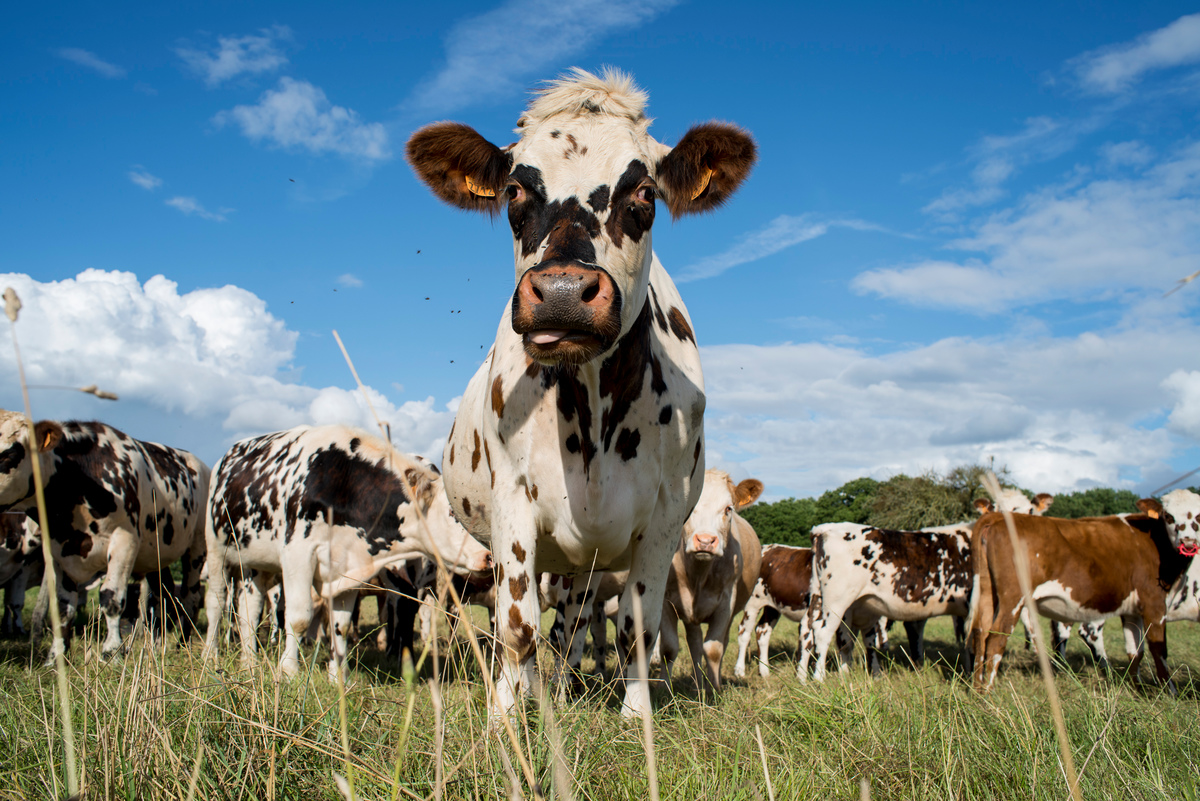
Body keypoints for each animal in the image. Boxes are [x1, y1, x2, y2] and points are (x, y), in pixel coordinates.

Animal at [0, 410, 207, 661]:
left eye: (9, 454)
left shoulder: (124, 541)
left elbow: (111, 597)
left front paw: (112, 651)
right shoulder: (58, 549)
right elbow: (63, 606)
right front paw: (56, 655)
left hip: (197, 548)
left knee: (190, 597)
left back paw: (183, 645)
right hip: (156, 555)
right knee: (162, 595)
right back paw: (157, 647)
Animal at [204, 422, 489, 681]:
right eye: (454, 512)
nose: (489, 556)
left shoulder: (349, 568)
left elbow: (340, 624)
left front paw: (339, 677)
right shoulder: (298, 555)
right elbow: (299, 617)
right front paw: (288, 671)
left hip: (254, 563)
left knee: (249, 609)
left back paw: (249, 661)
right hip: (217, 551)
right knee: (216, 602)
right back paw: (212, 653)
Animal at [408, 70, 753, 719]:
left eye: (644, 191)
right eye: (514, 190)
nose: (564, 292)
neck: (594, 406)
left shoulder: (665, 517)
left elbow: (639, 631)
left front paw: (637, 717)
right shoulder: (512, 500)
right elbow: (517, 627)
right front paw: (504, 721)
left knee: (572, 625)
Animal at [964, 506, 1190, 695]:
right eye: (1169, 516)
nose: (1188, 541)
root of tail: (998, 516)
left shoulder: (1132, 611)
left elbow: (1135, 650)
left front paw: (1138, 688)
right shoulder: (1154, 604)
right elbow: (1159, 649)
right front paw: (1170, 692)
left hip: (988, 591)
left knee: (980, 632)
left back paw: (977, 690)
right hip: (1013, 597)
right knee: (997, 637)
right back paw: (988, 694)